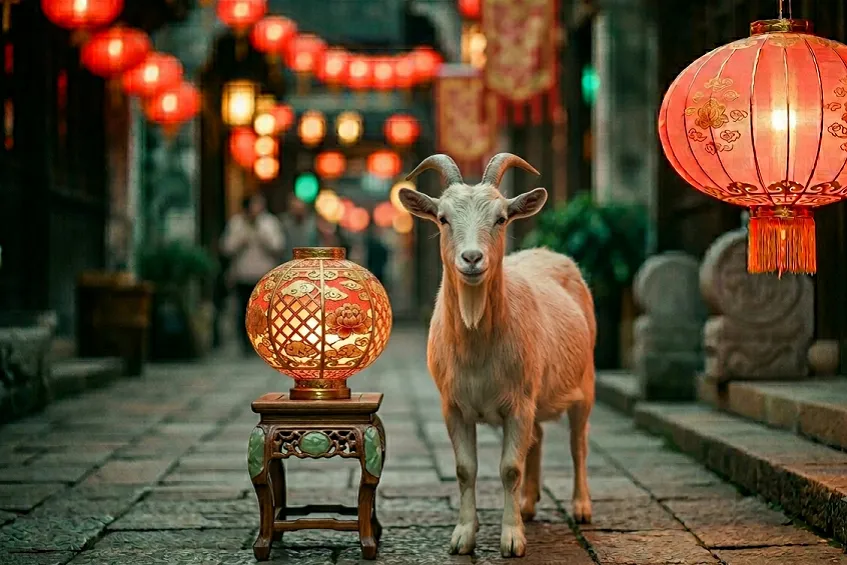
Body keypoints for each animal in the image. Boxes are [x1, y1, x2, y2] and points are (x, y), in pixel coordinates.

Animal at [398, 153, 596, 558]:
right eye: (442, 218)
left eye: (501, 218)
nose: (472, 258)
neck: (478, 350)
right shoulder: (454, 405)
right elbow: (465, 468)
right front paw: (463, 536)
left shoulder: (518, 403)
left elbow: (509, 469)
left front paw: (512, 539)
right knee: (538, 436)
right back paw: (529, 504)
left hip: (585, 382)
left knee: (578, 444)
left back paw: (581, 507)